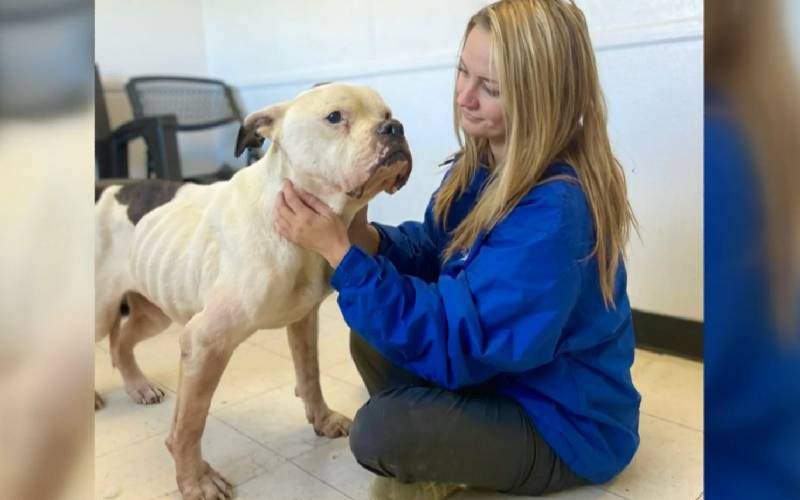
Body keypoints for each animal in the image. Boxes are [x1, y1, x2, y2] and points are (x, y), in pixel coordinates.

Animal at [94, 84, 412, 498]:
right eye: (335, 117)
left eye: (386, 113)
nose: (395, 128)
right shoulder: (205, 342)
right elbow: (189, 424)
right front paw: (194, 480)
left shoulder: (304, 321)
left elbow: (310, 376)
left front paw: (322, 419)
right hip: (101, 310)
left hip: (154, 311)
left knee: (122, 341)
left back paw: (139, 387)